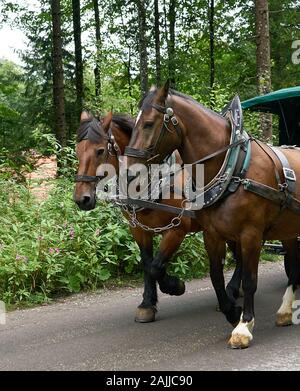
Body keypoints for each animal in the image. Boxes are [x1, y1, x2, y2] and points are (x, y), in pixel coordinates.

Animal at [74, 112, 243, 324]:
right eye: (77, 152)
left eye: (100, 151)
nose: (82, 199)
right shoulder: (138, 229)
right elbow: (148, 264)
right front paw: (147, 304)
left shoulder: (177, 228)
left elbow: (156, 267)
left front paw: (176, 286)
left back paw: (232, 290)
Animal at [124, 82, 300, 350]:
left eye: (149, 123)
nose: (130, 173)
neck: (234, 168)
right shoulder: (213, 234)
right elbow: (216, 276)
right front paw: (231, 311)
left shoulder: (251, 234)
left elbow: (250, 280)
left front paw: (244, 326)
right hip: (288, 229)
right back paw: (285, 310)